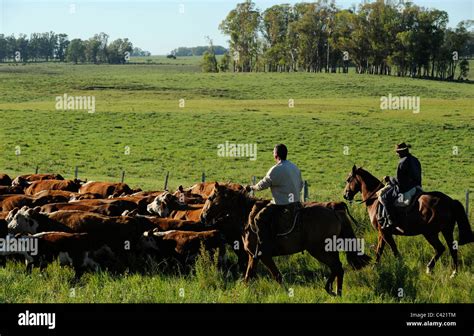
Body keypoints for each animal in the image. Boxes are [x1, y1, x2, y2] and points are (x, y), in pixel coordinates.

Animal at [200, 182, 370, 296]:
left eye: (211, 197)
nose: (203, 216)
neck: (247, 214)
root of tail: (334, 208)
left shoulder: (263, 255)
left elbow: (277, 276)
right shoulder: (253, 257)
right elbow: (249, 275)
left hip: (319, 250)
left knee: (337, 267)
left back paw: (331, 289)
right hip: (327, 250)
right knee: (337, 268)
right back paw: (336, 291)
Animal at [342, 164, 472, 276]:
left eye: (348, 180)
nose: (345, 195)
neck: (374, 199)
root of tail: (450, 201)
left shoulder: (384, 232)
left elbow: (393, 249)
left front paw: (401, 265)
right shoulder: (382, 232)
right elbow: (380, 250)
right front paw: (375, 267)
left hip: (430, 233)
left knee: (440, 248)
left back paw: (430, 268)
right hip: (446, 231)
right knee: (452, 249)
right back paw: (453, 273)